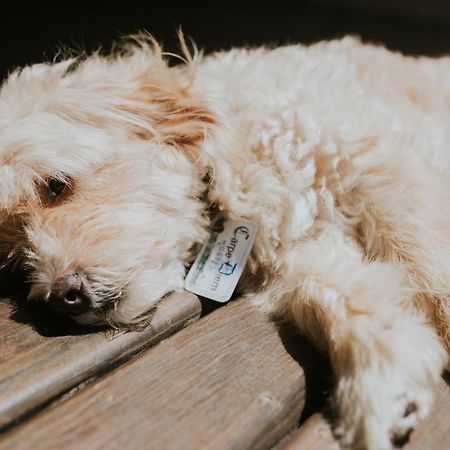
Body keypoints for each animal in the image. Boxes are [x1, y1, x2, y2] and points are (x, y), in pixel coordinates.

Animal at [0, 35, 450, 450]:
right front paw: (382, 381)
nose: (61, 298)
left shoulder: (381, 169)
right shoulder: (300, 257)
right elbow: (342, 296)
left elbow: (430, 269)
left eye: (55, 187)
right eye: (16, 256)